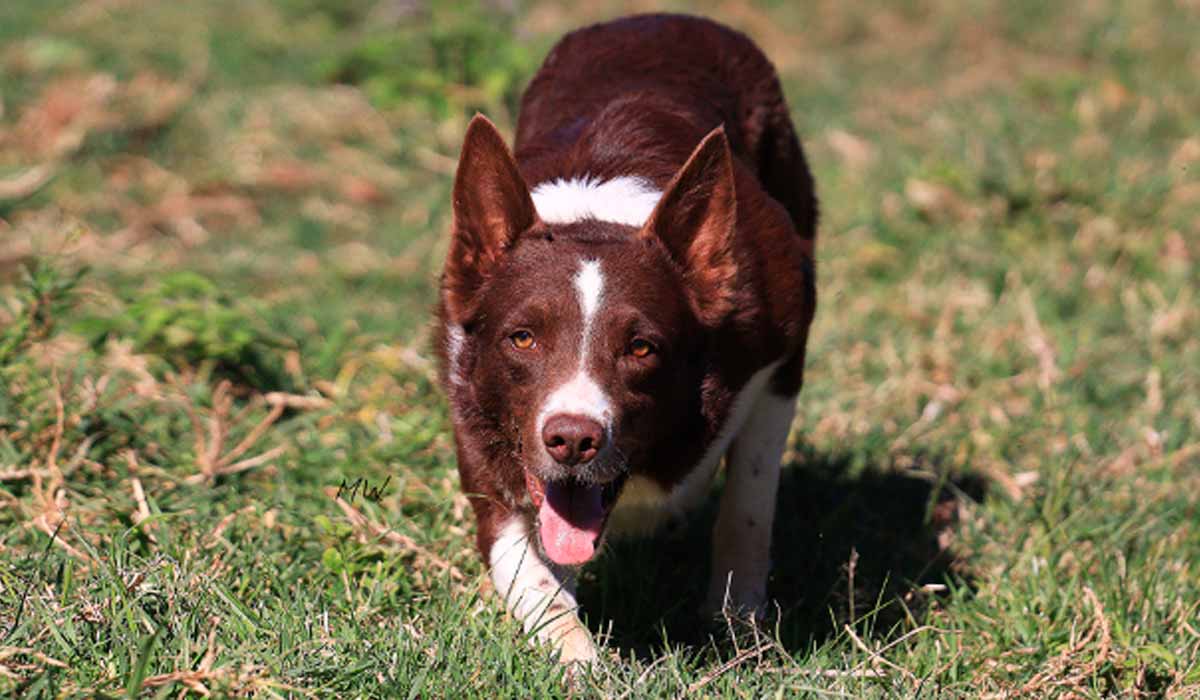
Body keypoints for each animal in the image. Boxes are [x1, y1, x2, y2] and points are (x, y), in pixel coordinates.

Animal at [436, 15, 820, 662]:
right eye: (522, 338)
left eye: (642, 348)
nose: (572, 440)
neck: (597, 218)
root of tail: (660, 18)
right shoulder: (471, 398)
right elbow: (522, 564)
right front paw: (579, 660)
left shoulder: (779, 356)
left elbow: (748, 504)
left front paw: (738, 623)